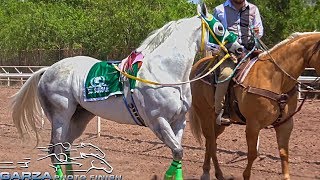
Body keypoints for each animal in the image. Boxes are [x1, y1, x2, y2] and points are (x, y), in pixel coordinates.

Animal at [189, 32, 320, 180]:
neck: (274, 78)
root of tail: (197, 67)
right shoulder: (253, 125)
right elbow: (252, 154)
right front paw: (246, 175)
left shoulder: (285, 124)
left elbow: (284, 153)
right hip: (204, 115)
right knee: (210, 141)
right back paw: (209, 173)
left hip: (218, 122)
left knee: (211, 143)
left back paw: (215, 173)